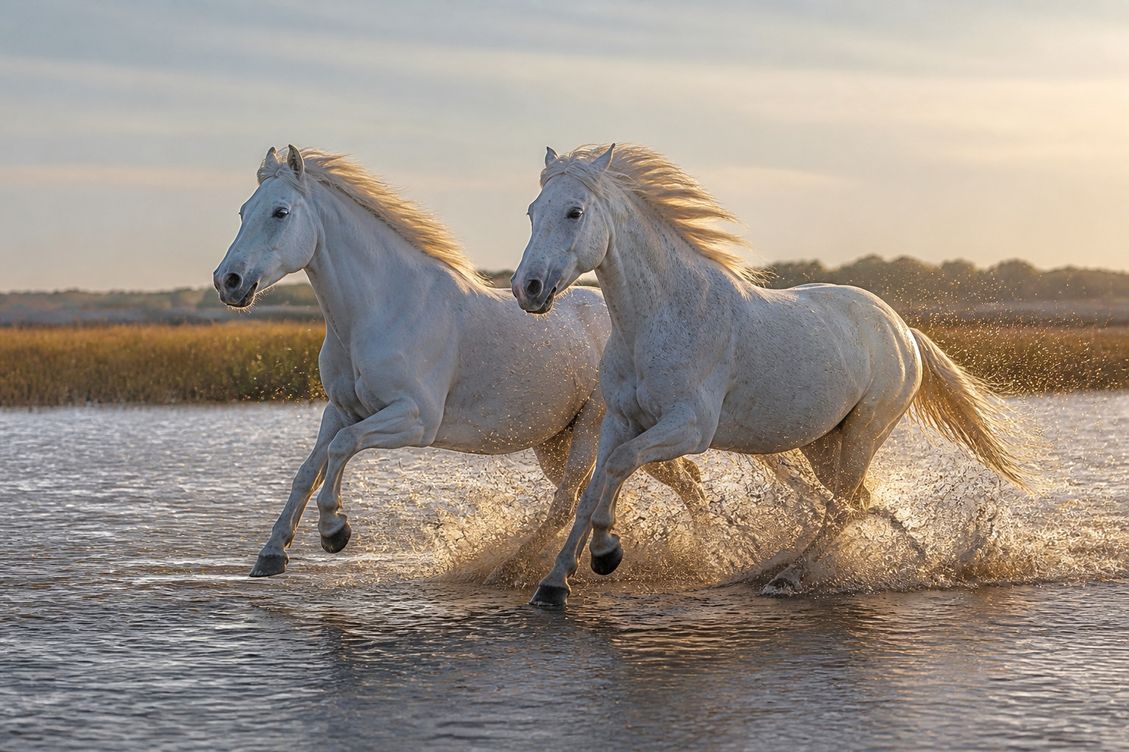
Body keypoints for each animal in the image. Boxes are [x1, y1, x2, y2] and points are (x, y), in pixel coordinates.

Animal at [212, 145, 706, 592]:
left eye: (280, 212)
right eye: (242, 211)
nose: (228, 282)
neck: (379, 310)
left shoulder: (414, 419)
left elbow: (341, 449)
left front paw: (335, 532)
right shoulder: (340, 410)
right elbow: (306, 472)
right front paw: (271, 556)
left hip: (592, 429)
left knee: (571, 500)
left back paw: (520, 571)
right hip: (564, 441)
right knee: (675, 482)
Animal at [511, 143, 1027, 607]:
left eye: (575, 212)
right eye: (533, 212)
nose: (527, 288)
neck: (660, 318)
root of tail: (904, 330)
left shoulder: (690, 428)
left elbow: (619, 466)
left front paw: (606, 554)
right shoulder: (619, 420)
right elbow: (591, 489)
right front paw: (553, 585)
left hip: (866, 432)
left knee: (841, 508)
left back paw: (788, 577)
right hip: (823, 442)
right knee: (855, 504)